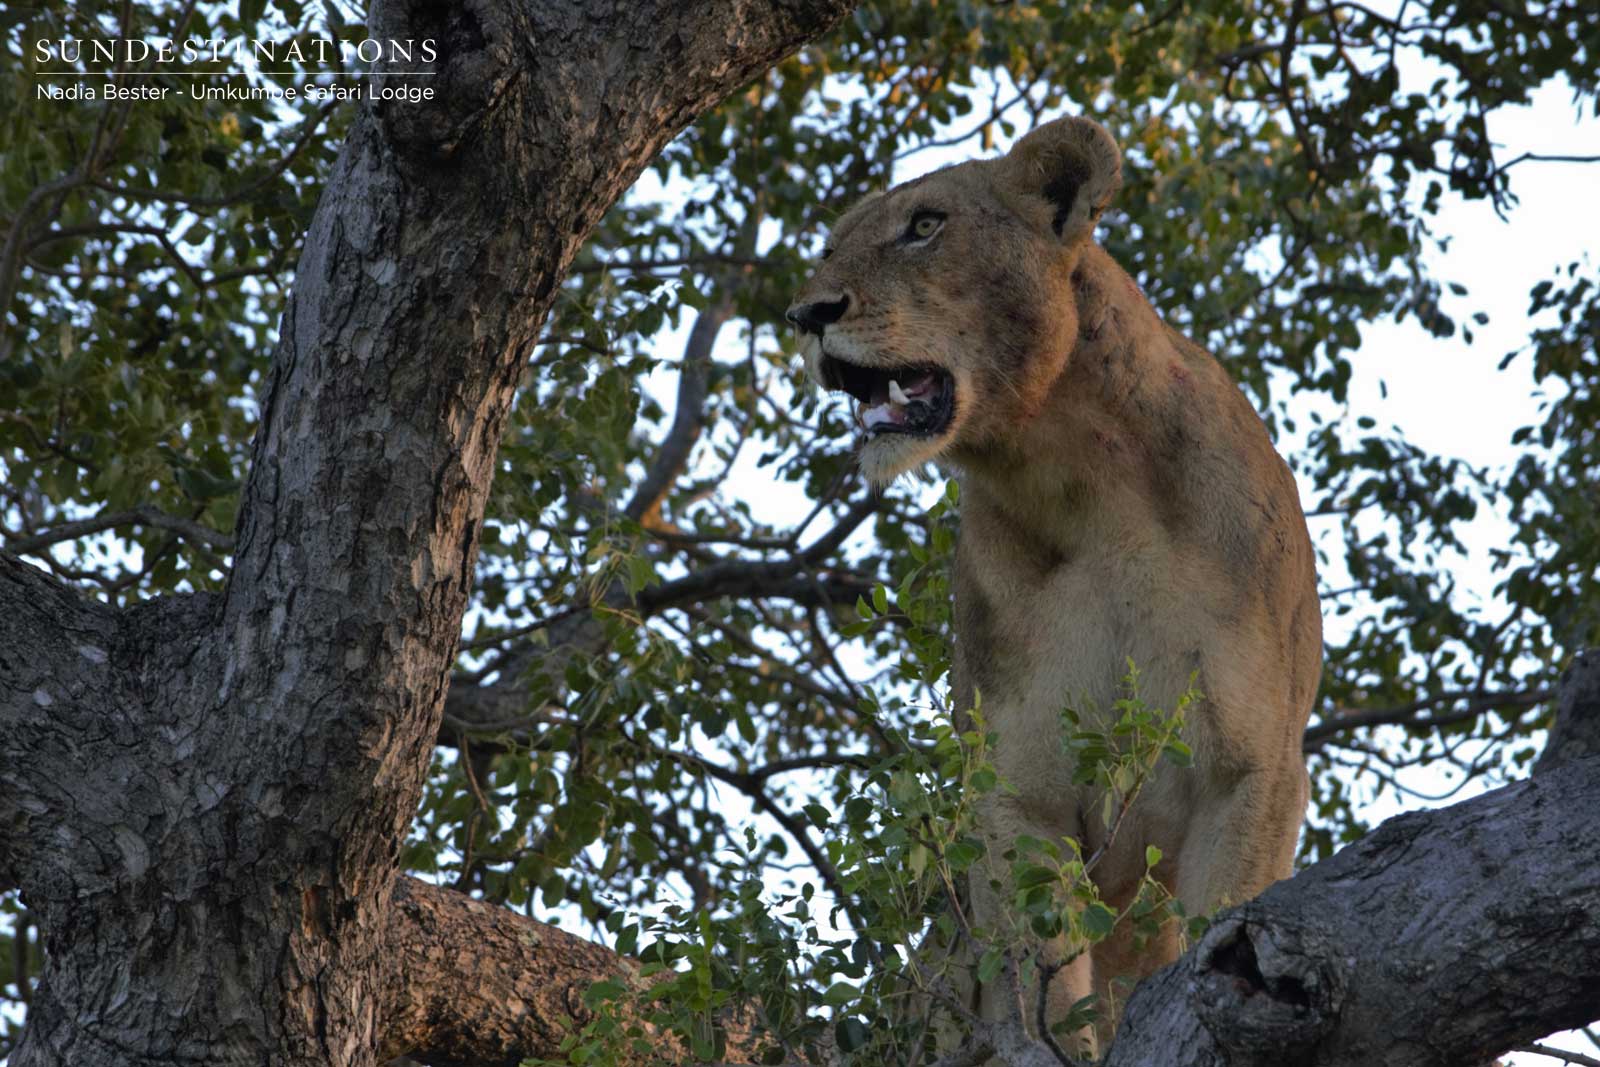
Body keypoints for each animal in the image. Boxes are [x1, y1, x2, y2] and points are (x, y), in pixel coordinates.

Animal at [787, 116, 1322, 1055]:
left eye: (925, 226)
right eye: (830, 245)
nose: (806, 315)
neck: (1085, 486)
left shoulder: (1254, 769)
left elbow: (1227, 914)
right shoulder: (1017, 789)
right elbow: (1043, 978)